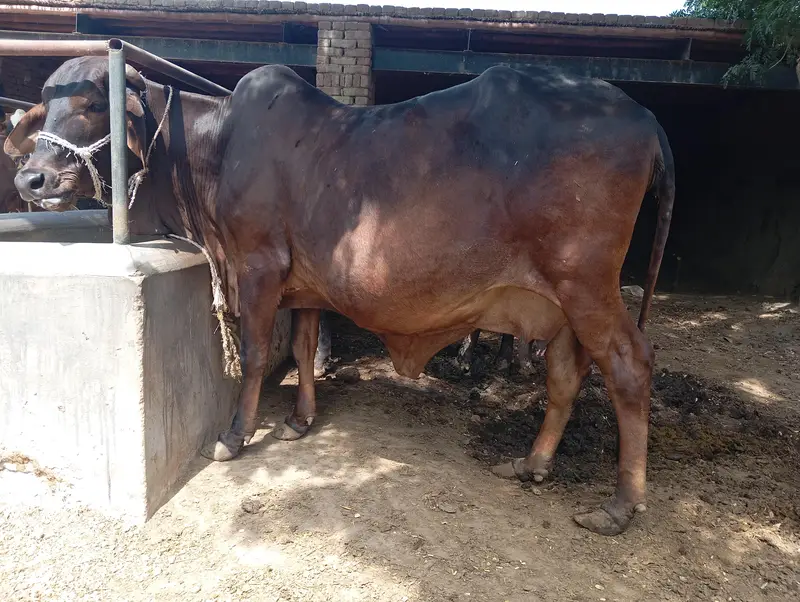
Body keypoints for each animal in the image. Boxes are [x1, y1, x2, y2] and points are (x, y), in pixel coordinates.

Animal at [6, 57, 674, 536]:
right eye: (46, 108)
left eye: (91, 104)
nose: (31, 178)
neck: (213, 146)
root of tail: (645, 118)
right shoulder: (303, 284)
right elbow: (304, 348)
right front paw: (300, 420)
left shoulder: (259, 266)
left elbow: (256, 355)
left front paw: (235, 436)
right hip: (561, 306)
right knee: (566, 375)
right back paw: (533, 463)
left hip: (586, 284)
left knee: (630, 366)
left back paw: (622, 504)